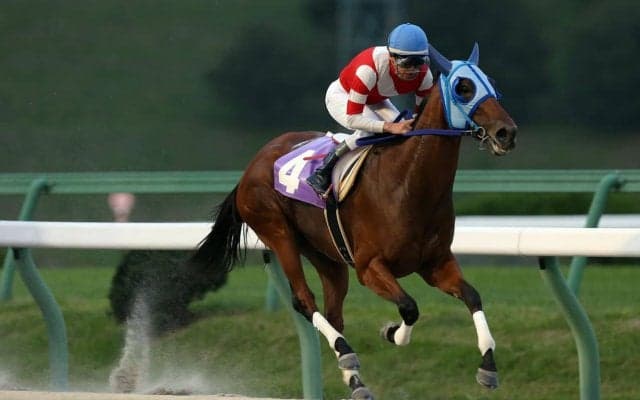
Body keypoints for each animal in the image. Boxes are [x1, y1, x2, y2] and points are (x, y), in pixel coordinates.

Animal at [188, 44, 517, 399]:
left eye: (491, 83)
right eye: (463, 87)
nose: (507, 132)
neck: (408, 183)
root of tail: (251, 167)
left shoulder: (435, 263)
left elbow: (472, 296)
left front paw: (488, 367)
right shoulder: (369, 266)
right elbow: (409, 306)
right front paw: (392, 332)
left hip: (326, 255)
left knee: (333, 313)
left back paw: (355, 380)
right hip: (278, 233)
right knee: (304, 300)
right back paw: (346, 354)